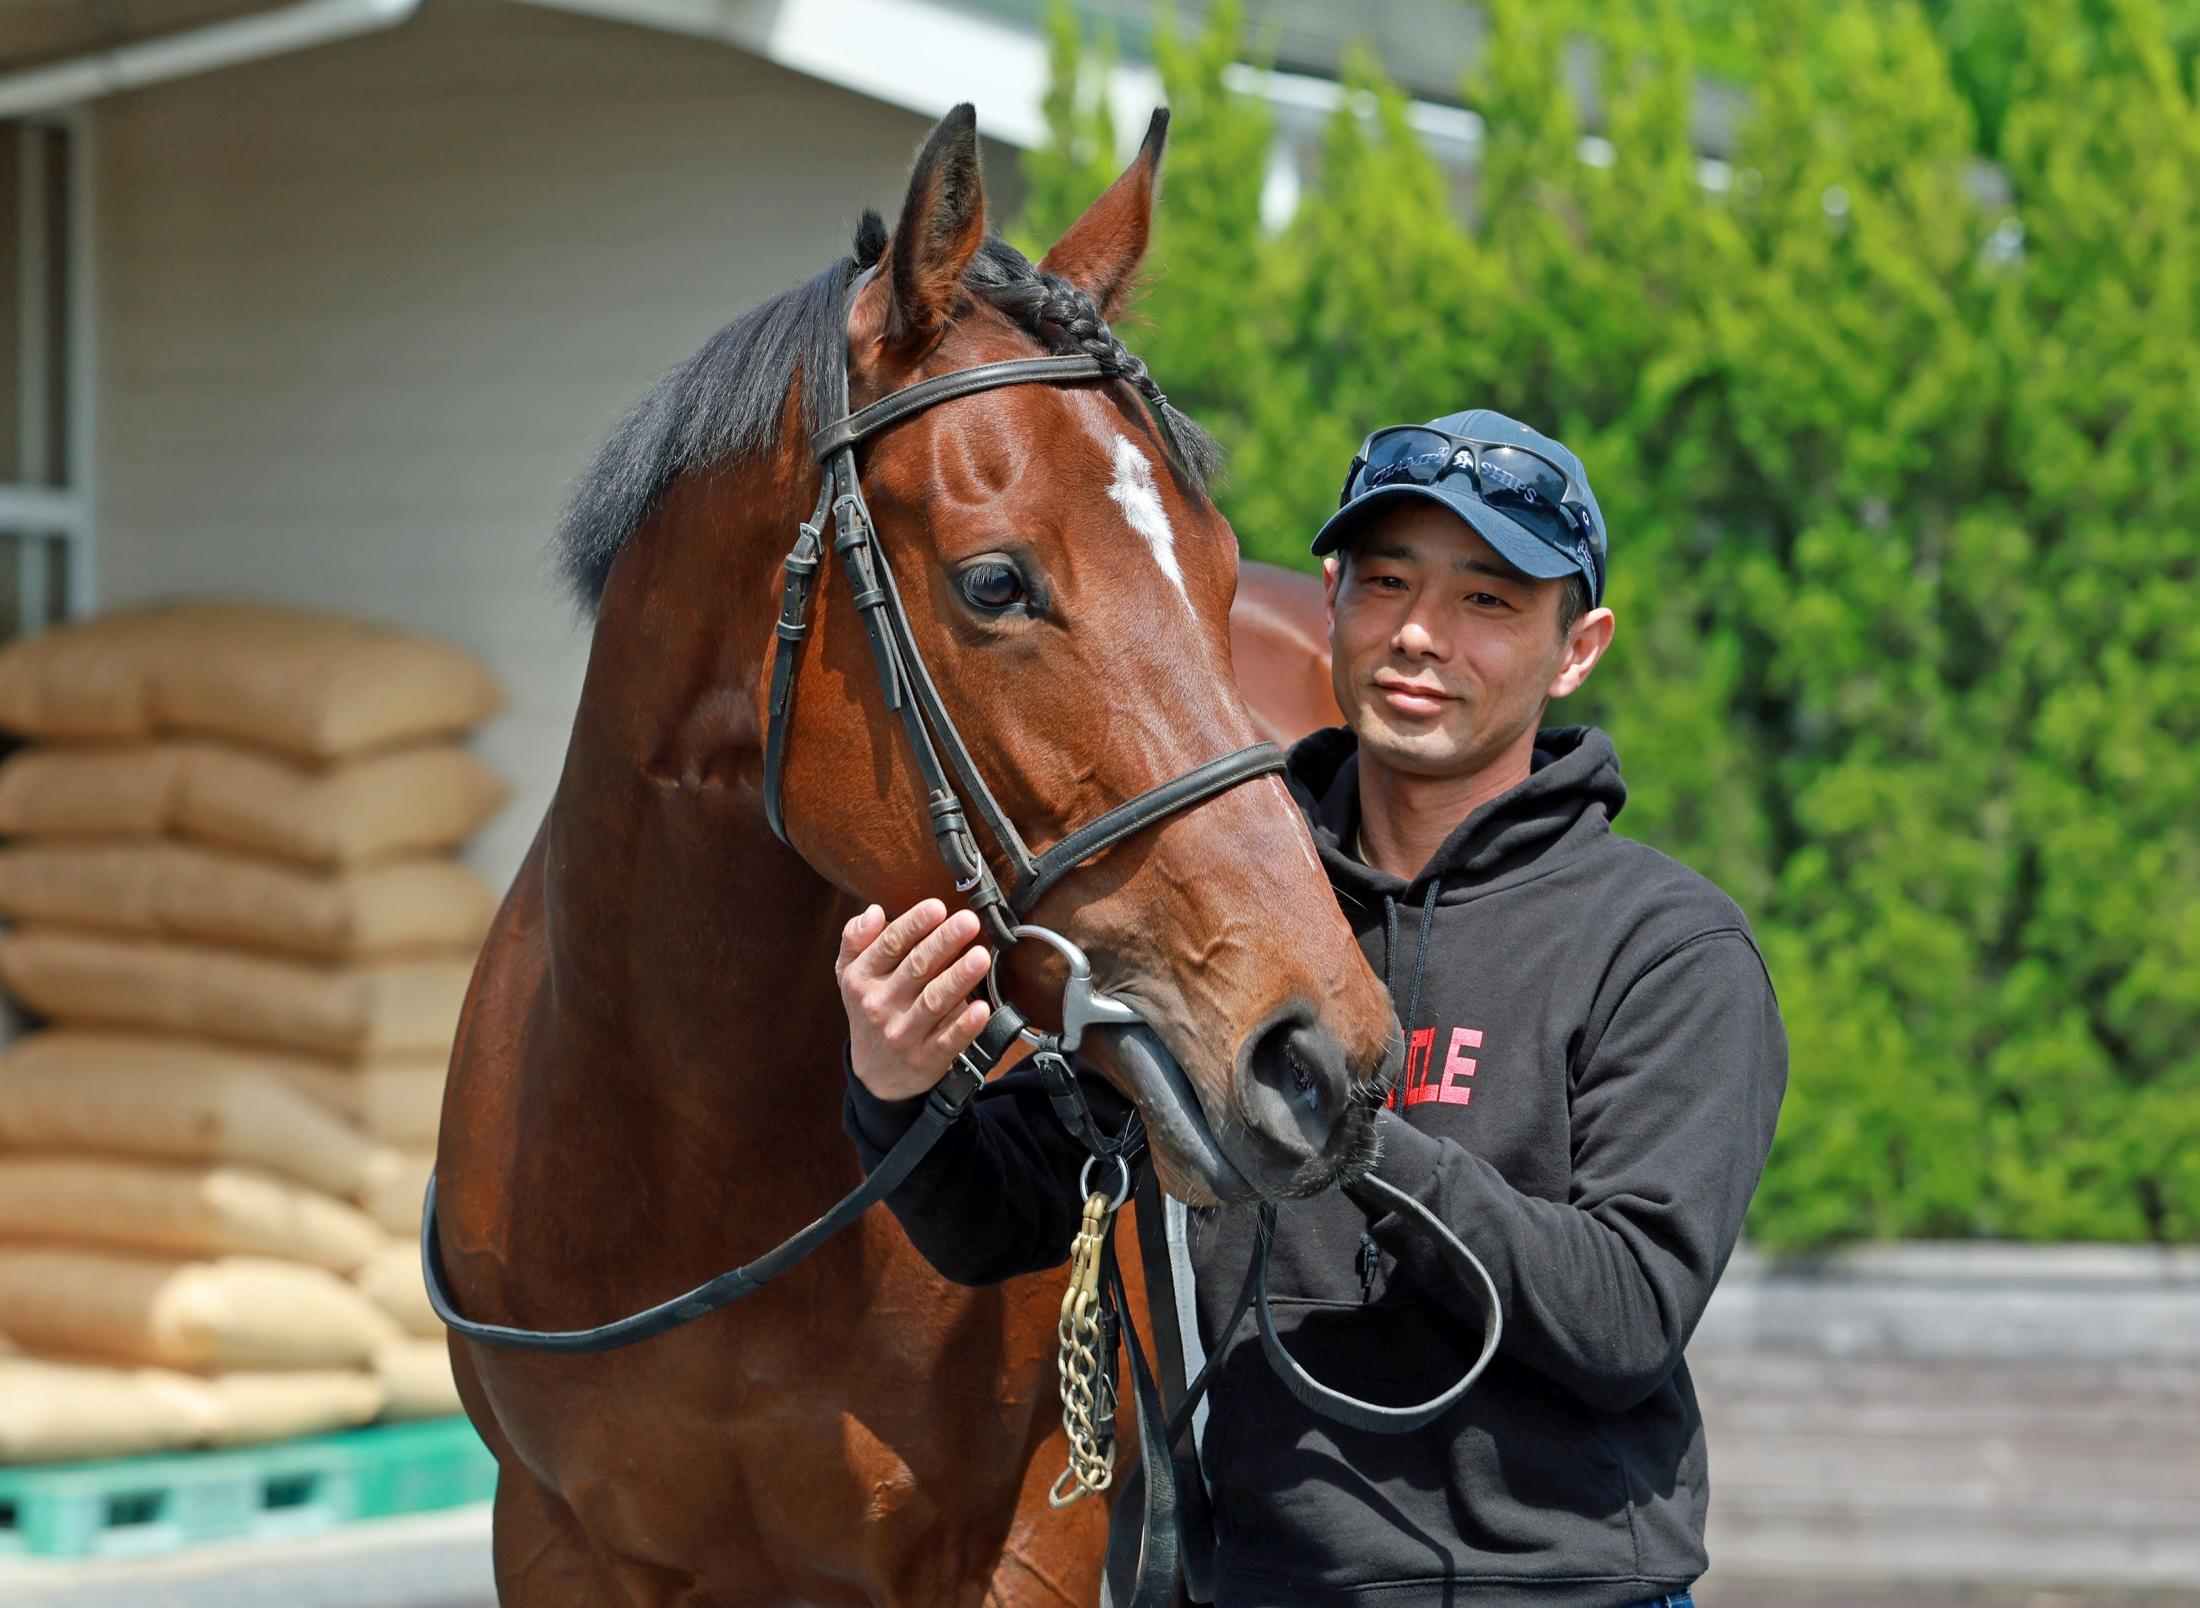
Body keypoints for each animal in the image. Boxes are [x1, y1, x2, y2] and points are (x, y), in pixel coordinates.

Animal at [433, 106, 1390, 1601]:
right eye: (995, 582)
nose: (1317, 1055)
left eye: (1224, 570)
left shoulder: (1033, 1534)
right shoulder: (552, 1537)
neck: (700, 1179)